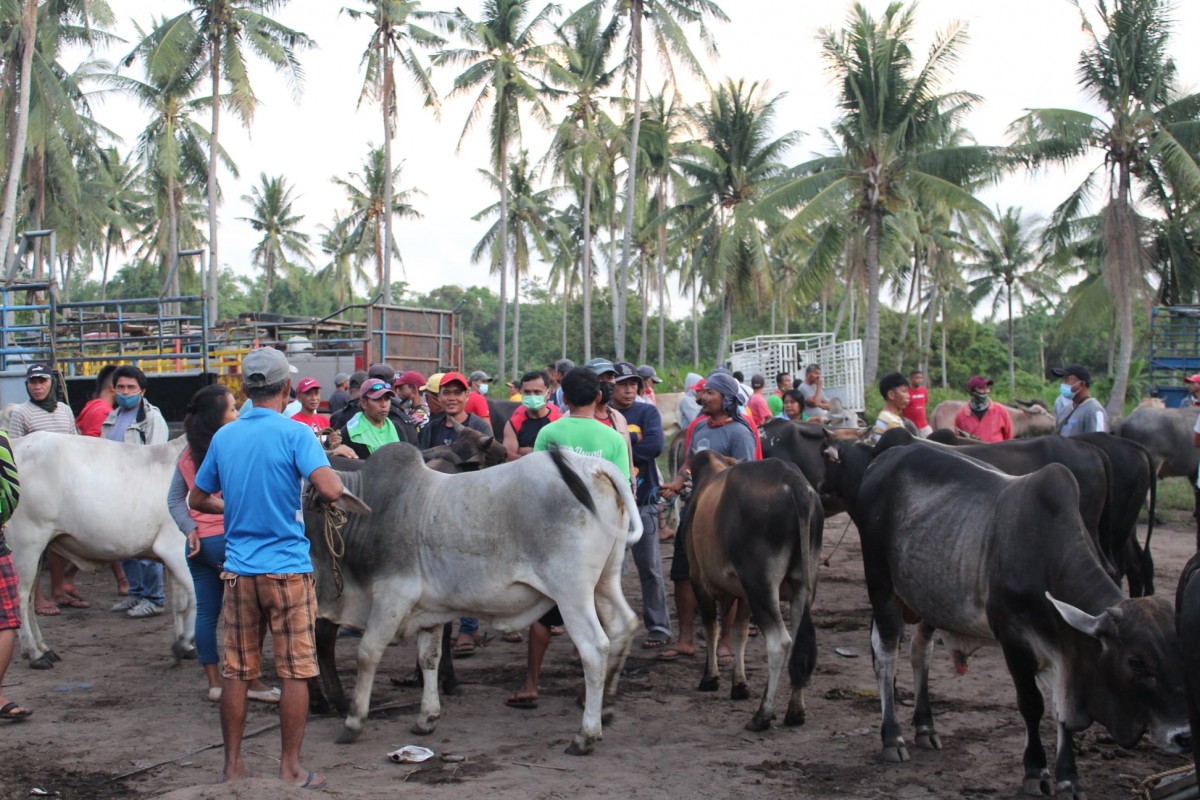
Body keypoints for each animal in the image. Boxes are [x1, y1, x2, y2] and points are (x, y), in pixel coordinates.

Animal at [7, 434, 194, 666]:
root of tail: (16, 443)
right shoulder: (175, 549)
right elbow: (193, 599)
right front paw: (185, 643)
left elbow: (180, 603)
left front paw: (184, 646)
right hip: (27, 541)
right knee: (21, 597)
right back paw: (35, 654)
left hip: (37, 548)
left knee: (31, 596)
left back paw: (44, 649)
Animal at [830, 438, 1185, 800]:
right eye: (1137, 661)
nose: (1182, 735)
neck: (1046, 558)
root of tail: (886, 456)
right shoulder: (1014, 639)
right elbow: (1032, 704)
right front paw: (1036, 771)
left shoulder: (1063, 649)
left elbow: (1061, 712)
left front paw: (1069, 779)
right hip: (881, 584)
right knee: (886, 656)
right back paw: (893, 737)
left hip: (929, 595)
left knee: (921, 653)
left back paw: (925, 727)